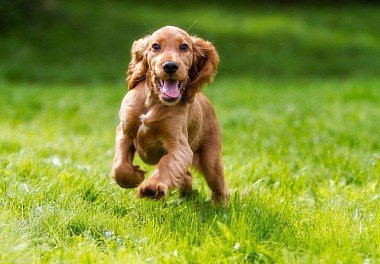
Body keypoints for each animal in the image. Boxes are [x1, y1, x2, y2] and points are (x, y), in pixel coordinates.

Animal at [111, 25, 227, 204]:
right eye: (155, 46)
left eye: (184, 47)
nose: (170, 66)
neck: (153, 101)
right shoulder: (124, 132)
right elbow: (119, 166)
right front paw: (135, 176)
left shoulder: (180, 146)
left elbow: (166, 163)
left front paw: (152, 186)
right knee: (186, 174)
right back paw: (187, 194)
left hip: (211, 160)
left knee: (219, 185)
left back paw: (221, 206)